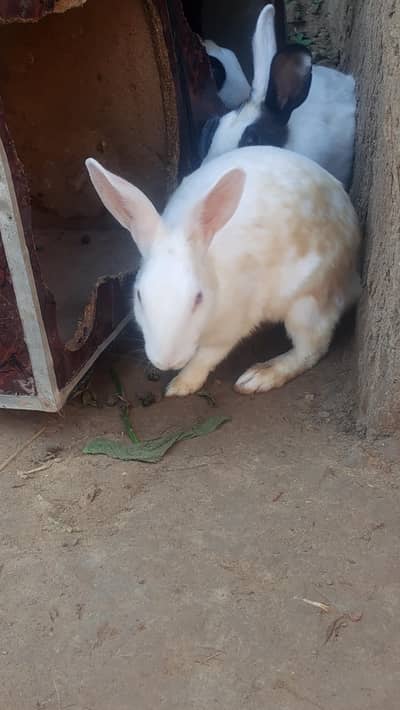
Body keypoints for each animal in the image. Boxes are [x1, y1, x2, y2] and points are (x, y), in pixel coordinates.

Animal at [85, 146, 360, 397]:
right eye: (140, 297)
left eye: (198, 298)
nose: (167, 361)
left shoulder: (232, 326)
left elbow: (206, 357)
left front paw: (181, 385)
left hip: (307, 303)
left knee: (312, 348)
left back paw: (259, 377)